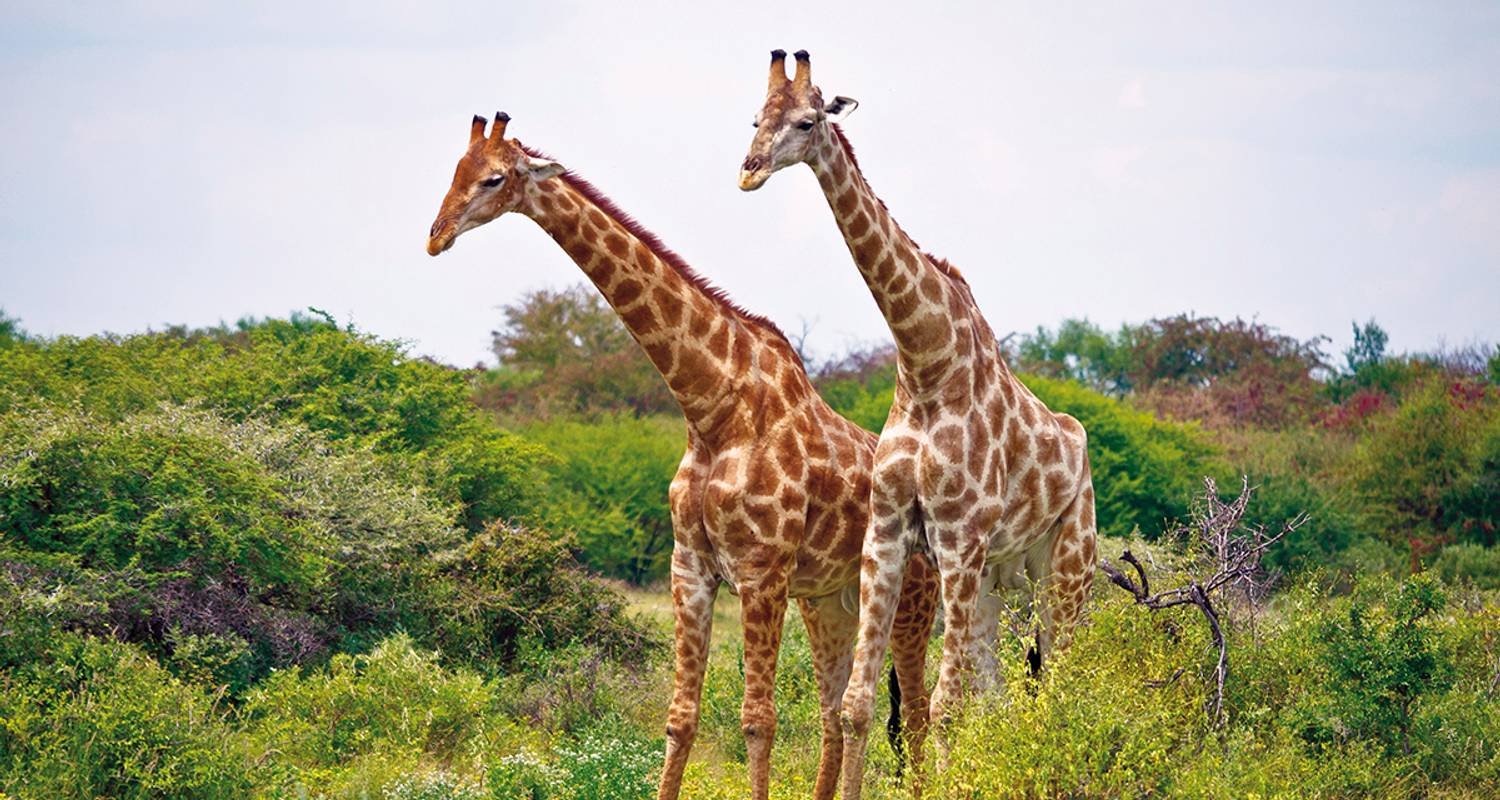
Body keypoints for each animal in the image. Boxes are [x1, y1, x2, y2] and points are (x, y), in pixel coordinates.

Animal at [426, 112, 936, 798]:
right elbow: (680, 717)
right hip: (828, 599)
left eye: (494, 178)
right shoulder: (689, 566)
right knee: (835, 712)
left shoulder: (761, 571)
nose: (436, 235)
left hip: (911, 595)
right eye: (455, 169)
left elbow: (757, 719)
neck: (711, 407)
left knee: (915, 712)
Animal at [741, 52, 1104, 792]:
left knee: (1058, 684)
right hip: (998, 576)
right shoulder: (886, 532)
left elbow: (941, 705)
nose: (750, 169)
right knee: (1002, 695)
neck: (925, 362)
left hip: (1066, 564)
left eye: (807, 121)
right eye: (753, 117)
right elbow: (859, 703)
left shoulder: (957, 538)